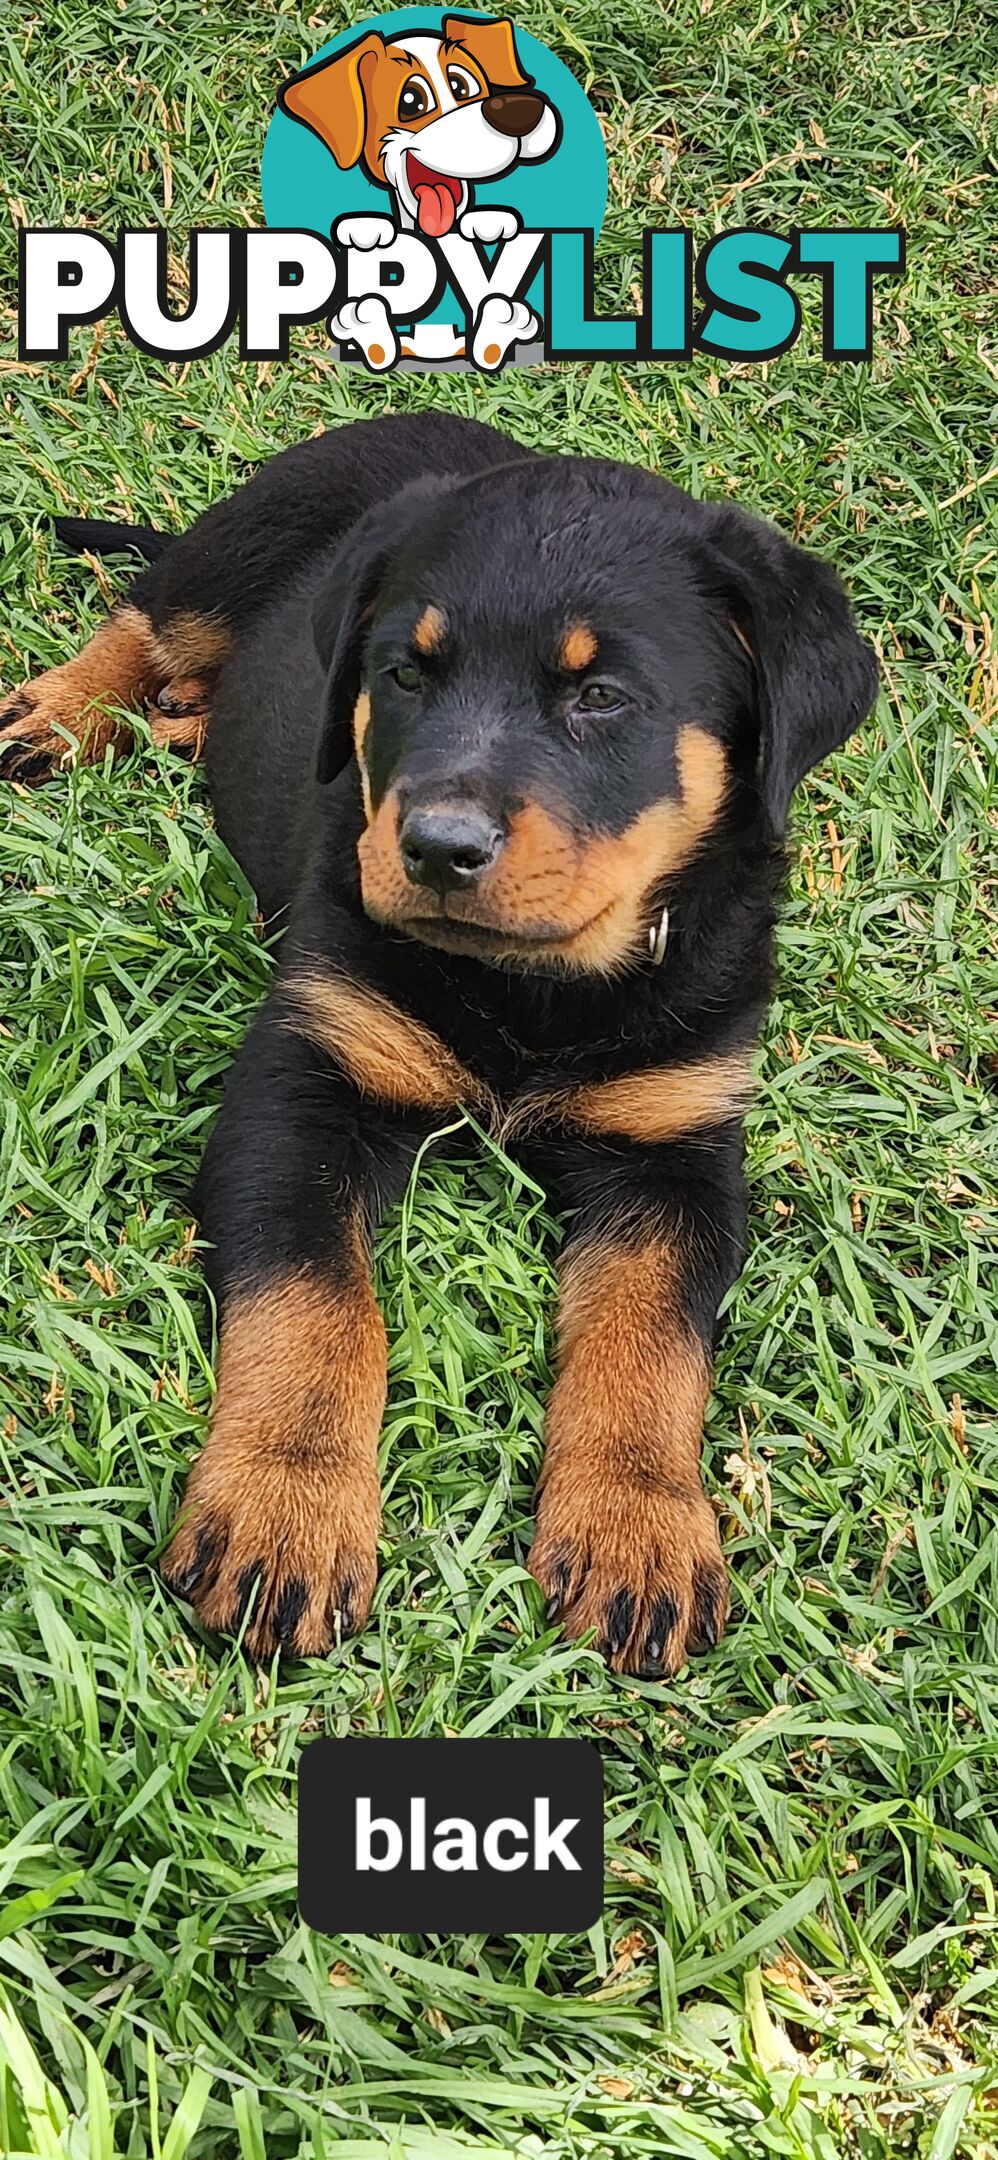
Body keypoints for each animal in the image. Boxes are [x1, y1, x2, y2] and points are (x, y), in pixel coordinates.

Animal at [0, 412, 877, 1676]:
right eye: (405, 674)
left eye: (600, 696)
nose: (433, 849)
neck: (531, 987)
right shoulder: (305, 1083)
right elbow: (318, 1305)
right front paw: (286, 1510)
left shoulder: (676, 1146)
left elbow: (649, 1342)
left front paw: (636, 1529)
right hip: (236, 545)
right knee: (147, 619)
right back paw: (64, 713)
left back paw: (177, 722)